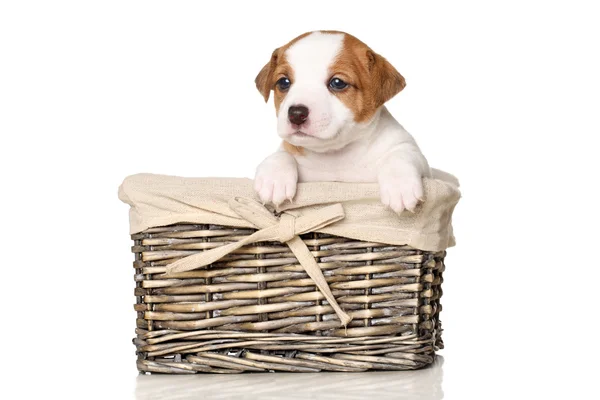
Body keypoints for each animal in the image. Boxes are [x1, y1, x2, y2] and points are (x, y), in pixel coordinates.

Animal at [253, 30, 432, 212]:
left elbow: (400, 155)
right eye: (284, 82)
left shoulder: (420, 161)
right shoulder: (289, 150)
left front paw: (400, 185)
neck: (336, 155)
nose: (296, 114)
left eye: (337, 83)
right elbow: (280, 155)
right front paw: (274, 179)